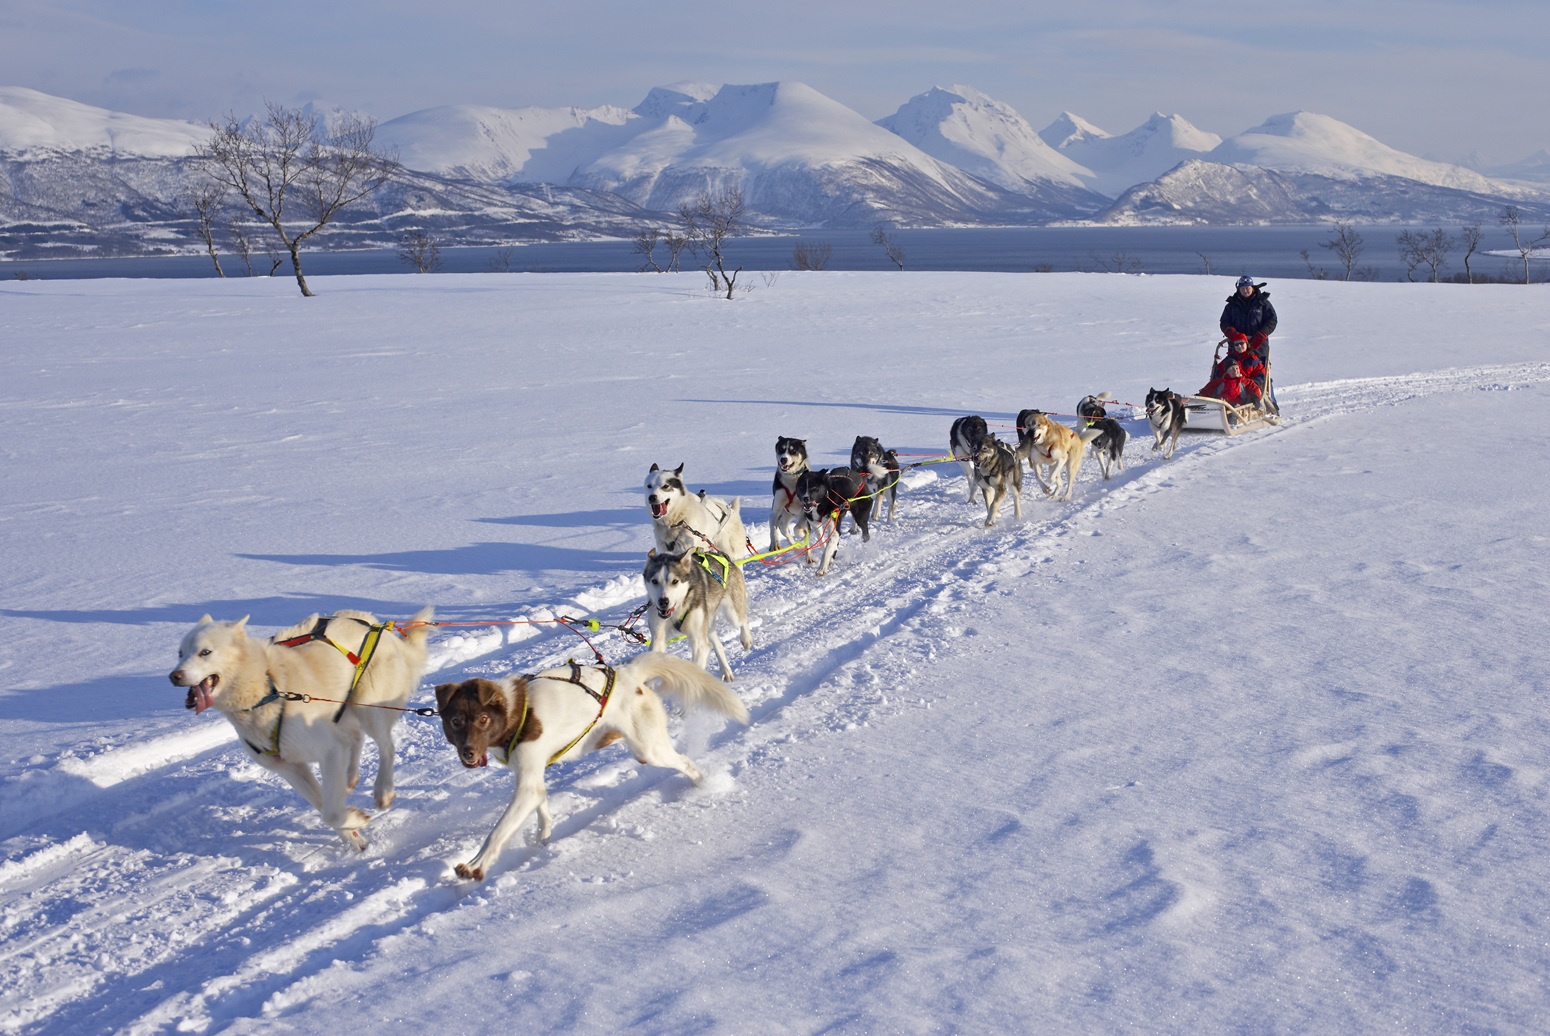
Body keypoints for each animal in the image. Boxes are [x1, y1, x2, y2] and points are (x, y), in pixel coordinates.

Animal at [168, 607, 434, 849]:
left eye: (205, 652)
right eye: (180, 653)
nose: (174, 676)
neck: (267, 689)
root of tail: (375, 624)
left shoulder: (327, 750)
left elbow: (331, 812)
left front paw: (354, 821)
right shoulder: (289, 767)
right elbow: (324, 807)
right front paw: (352, 833)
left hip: (369, 709)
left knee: (386, 747)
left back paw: (383, 790)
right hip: (342, 712)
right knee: (355, 738)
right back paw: (350, 777)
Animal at [437, 651, 750, 880]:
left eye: (483, 719)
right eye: (456, 721)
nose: (468, 753)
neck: (516, 711)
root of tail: (629, 673)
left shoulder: (526, 783)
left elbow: (497, 832)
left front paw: (475, 865)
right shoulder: (530, 778)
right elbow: (542, 807)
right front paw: (543, 839)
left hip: (649, 748)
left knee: (684, 761)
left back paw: (703, 784)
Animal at [641, 545, 756, 682]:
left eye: (675, 581)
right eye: (654, 581)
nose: (663, 601)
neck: (679, 607)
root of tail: (723, 556)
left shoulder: (699, 643)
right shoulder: (658, 637)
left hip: (732, 614)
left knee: (744, 620)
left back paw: (746, 639)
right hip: (707, 623)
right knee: (717, 644)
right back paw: (725, 670)